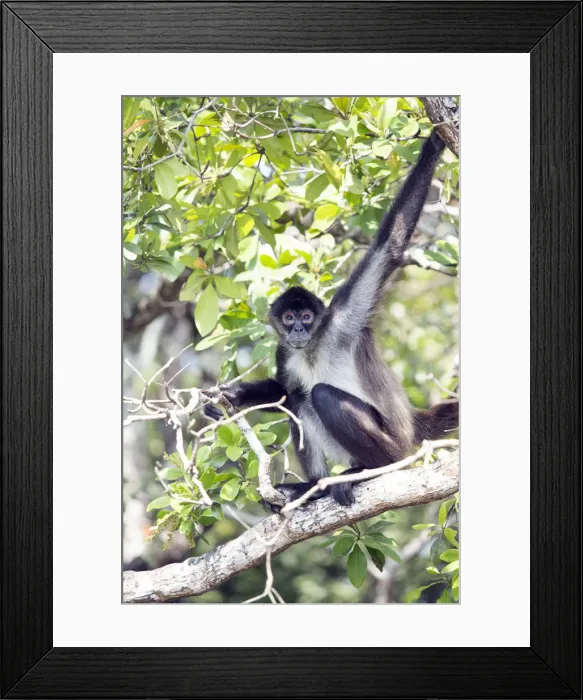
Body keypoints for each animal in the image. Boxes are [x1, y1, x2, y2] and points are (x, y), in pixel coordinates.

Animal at [204, 130, 458, 508]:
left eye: (308, 316)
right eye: (290, 317)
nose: (297, 328)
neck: (312, 346)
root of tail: (412, 425)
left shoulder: (345, 318)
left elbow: (390, 246)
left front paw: (433, 144)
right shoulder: (285, 350)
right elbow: (284, 392)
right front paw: (230, 397)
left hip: (394, 443)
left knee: (321, 394)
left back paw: (370, 470)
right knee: (300, 398)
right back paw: (312, 487)